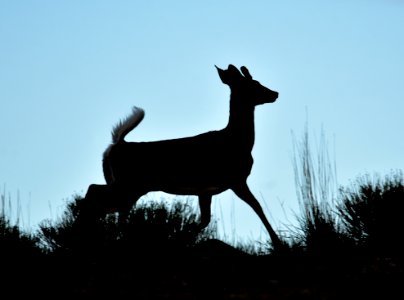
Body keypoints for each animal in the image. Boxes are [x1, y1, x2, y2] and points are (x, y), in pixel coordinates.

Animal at [83, 63, 280, 248]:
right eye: (254, 85)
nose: (275, 93)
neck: (237, 141)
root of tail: (116, 145)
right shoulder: (235, 179)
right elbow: (258, 206)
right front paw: (277, 242)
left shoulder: (206, 190)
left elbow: (205, 220)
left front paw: (183, 238)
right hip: (128, 183)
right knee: (94, 191)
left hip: (128, 186)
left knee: (104, 203)